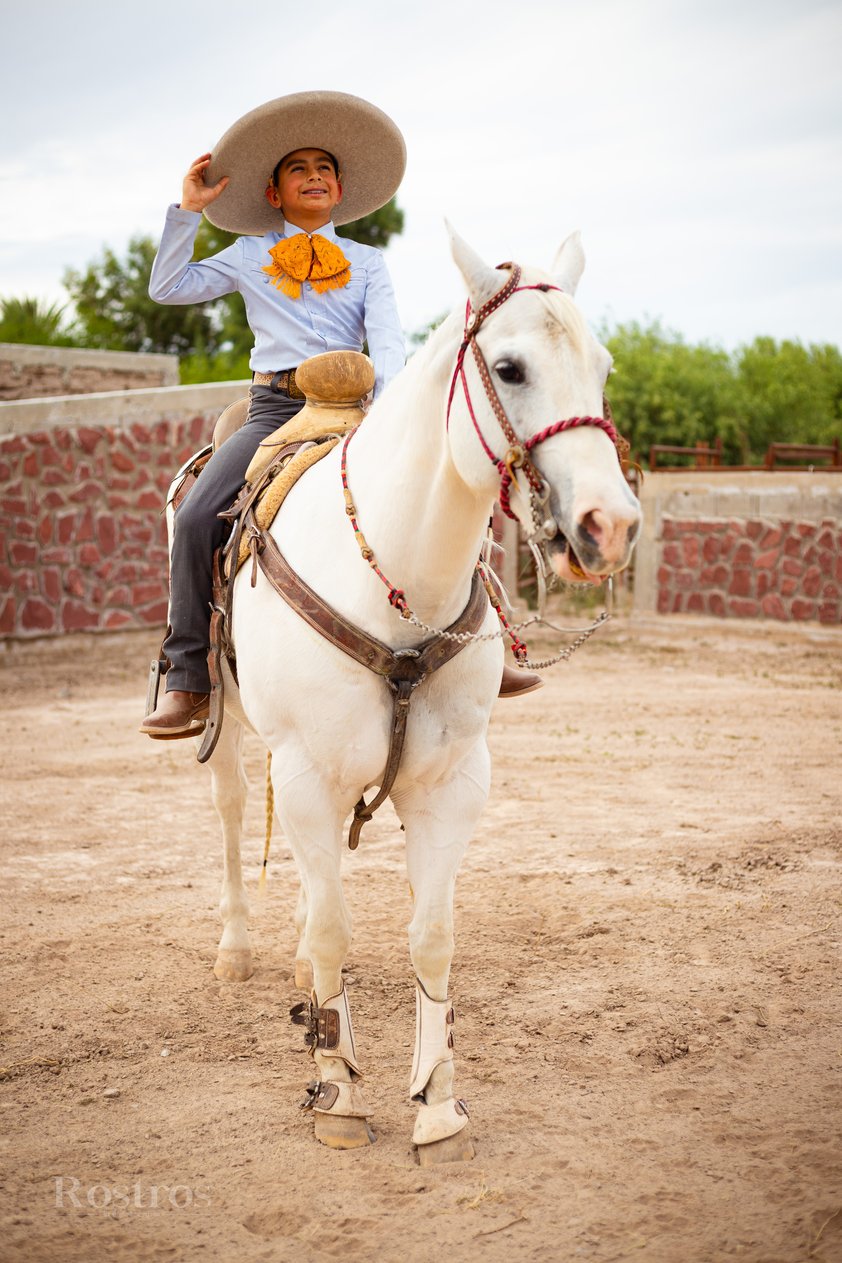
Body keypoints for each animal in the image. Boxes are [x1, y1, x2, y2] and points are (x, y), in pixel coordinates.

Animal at [200, 229, 641, 1161]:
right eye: (508, 367)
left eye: (603, 365)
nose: (609, 525)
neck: (394, 577)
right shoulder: (305, 774)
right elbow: (337, 929)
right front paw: (337, 1089)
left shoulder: (451, 786)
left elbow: (430, 937)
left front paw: (437, 1099)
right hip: (228, 724)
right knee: (231, 809)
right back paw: (237, 947)